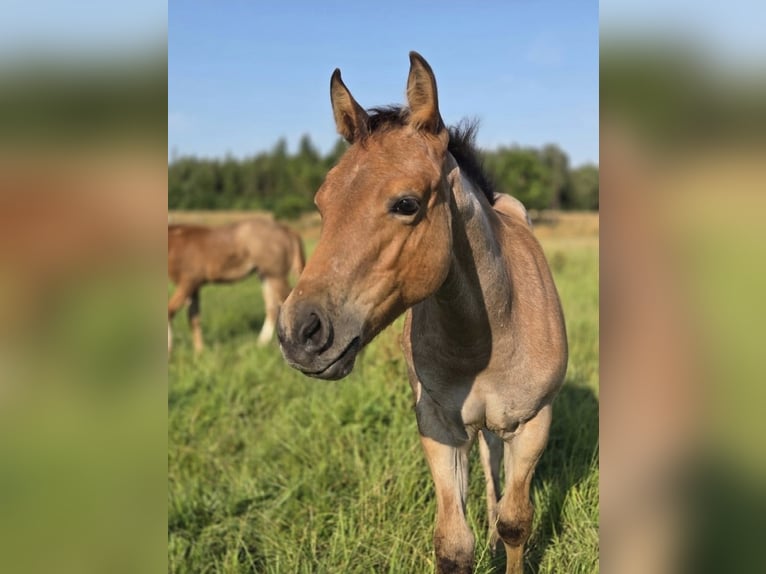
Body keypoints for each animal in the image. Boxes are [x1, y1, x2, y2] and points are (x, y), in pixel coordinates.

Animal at [168, 217, 305, 353]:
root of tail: (286, 230)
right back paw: (260, 344)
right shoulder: (194, 287)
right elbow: (194, 318)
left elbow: (170, 311)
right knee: (272, 308)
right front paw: (200, 352)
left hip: (276, 275)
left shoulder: (188, 282)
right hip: (266, 276)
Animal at [276, 52, 567, 574]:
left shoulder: (534, 424)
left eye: (406, 203)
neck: (484, 339)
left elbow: (518, 522)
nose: (300, 332)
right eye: (322, 203)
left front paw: (505, 541)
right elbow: (454, 545)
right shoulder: (438, 426)